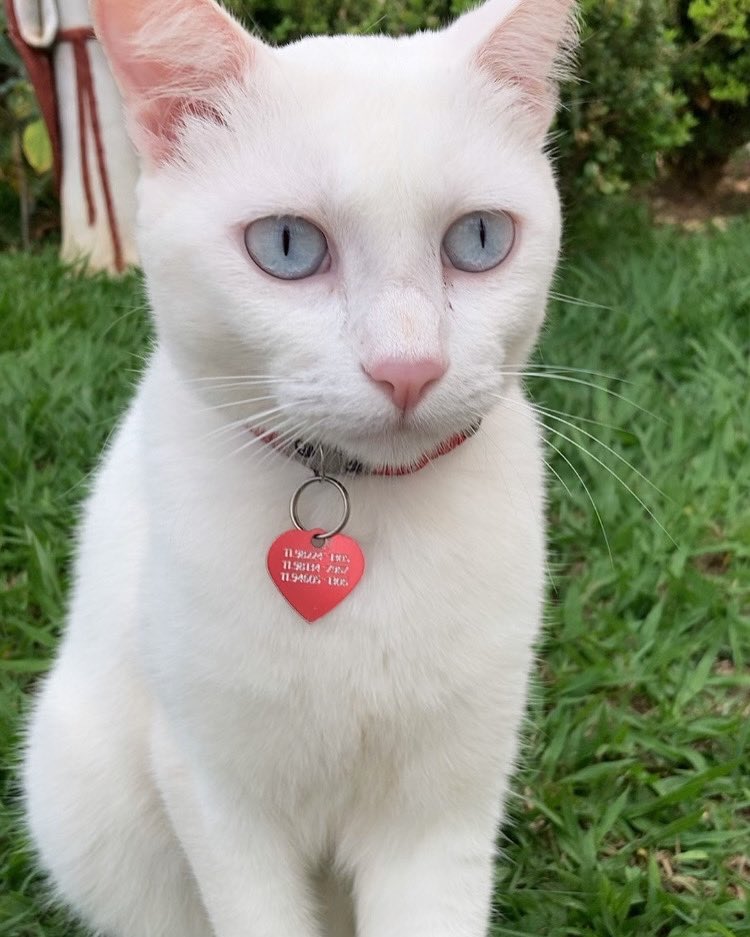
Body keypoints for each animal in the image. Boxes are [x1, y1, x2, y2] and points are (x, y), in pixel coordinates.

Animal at [22, 0, 577, 934]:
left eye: (479, 238)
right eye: (286, 245)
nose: (408, 367)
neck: (366, 510)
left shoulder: (444, 813)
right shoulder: (216, 795)